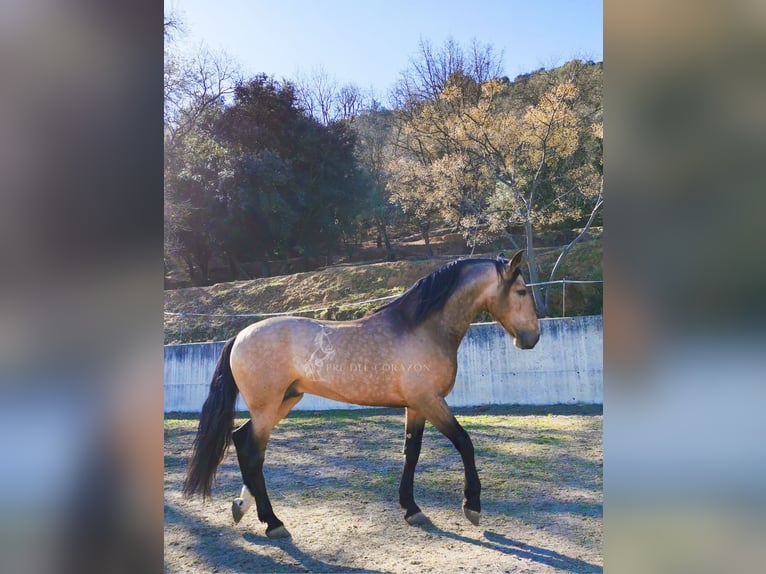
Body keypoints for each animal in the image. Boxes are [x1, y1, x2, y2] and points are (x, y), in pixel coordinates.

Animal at [182, 251, 540, 540]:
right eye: (522, 291)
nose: (532, 338)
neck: (420, 328)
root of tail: (239, 335)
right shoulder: (430, 401)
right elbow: (465, 443)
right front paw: (472, 506)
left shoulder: (416, 406)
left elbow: (411, 453)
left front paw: (412, 509)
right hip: (267, 407)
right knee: (252, 452)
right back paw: (273, 523)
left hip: (283, 402)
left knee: (243, 441)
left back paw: (242, 507)